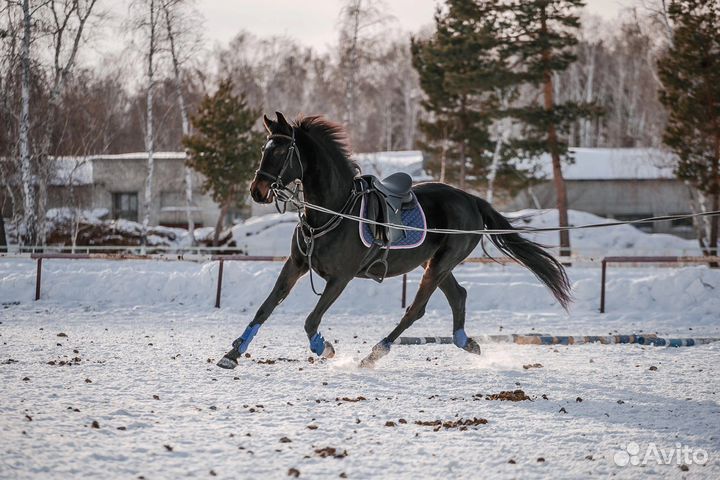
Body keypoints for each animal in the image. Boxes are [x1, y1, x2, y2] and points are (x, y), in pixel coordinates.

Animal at [216, 112, 572, 369]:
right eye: (264, 149)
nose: (257, 191)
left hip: (441, 264)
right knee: (458, 296)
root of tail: (471, 199)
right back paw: (465, 342)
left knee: (416, 310)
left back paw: (375, 353)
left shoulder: (340, 278)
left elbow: (310, 320)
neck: (332, 210)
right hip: (437, 264)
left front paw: (324, 347)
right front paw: (233, 353)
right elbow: (266, 307)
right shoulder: (296, 264)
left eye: (280, 150)